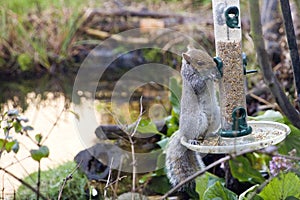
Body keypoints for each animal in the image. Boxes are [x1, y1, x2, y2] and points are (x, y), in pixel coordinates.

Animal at [164, 46, 220, 191]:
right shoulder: (194, 83)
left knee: (206, 133)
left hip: (216, 116)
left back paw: (214, 134)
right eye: (200, 63)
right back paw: (193, 140)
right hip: (198, 120)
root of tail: (182, 133)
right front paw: (211, 76)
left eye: (207, 54)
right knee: (195, 135)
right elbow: (201, 84)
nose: (214, 65)